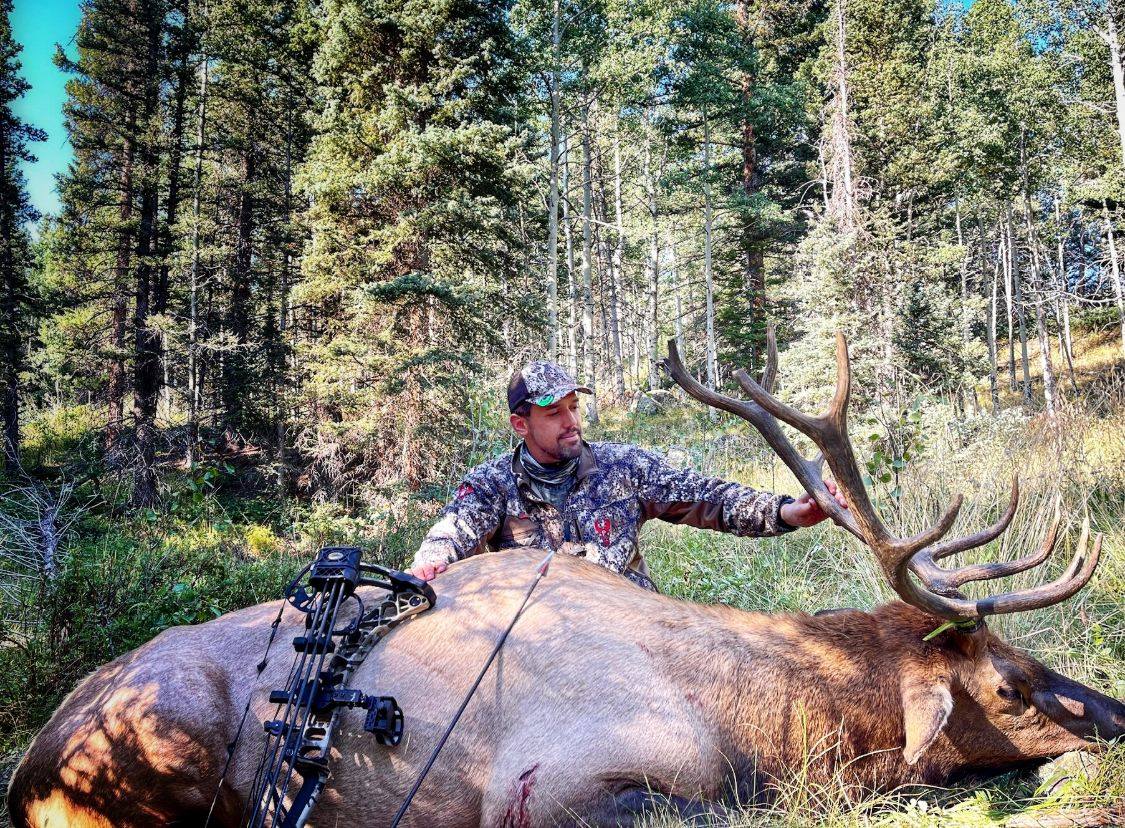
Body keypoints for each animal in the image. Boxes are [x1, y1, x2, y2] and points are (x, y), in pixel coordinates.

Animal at [7, 333, 1124, 828]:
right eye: (1010, 687)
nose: (1116, 717)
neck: (760, 717)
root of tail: (29, 761)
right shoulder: (560, 786)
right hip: (159, 745)